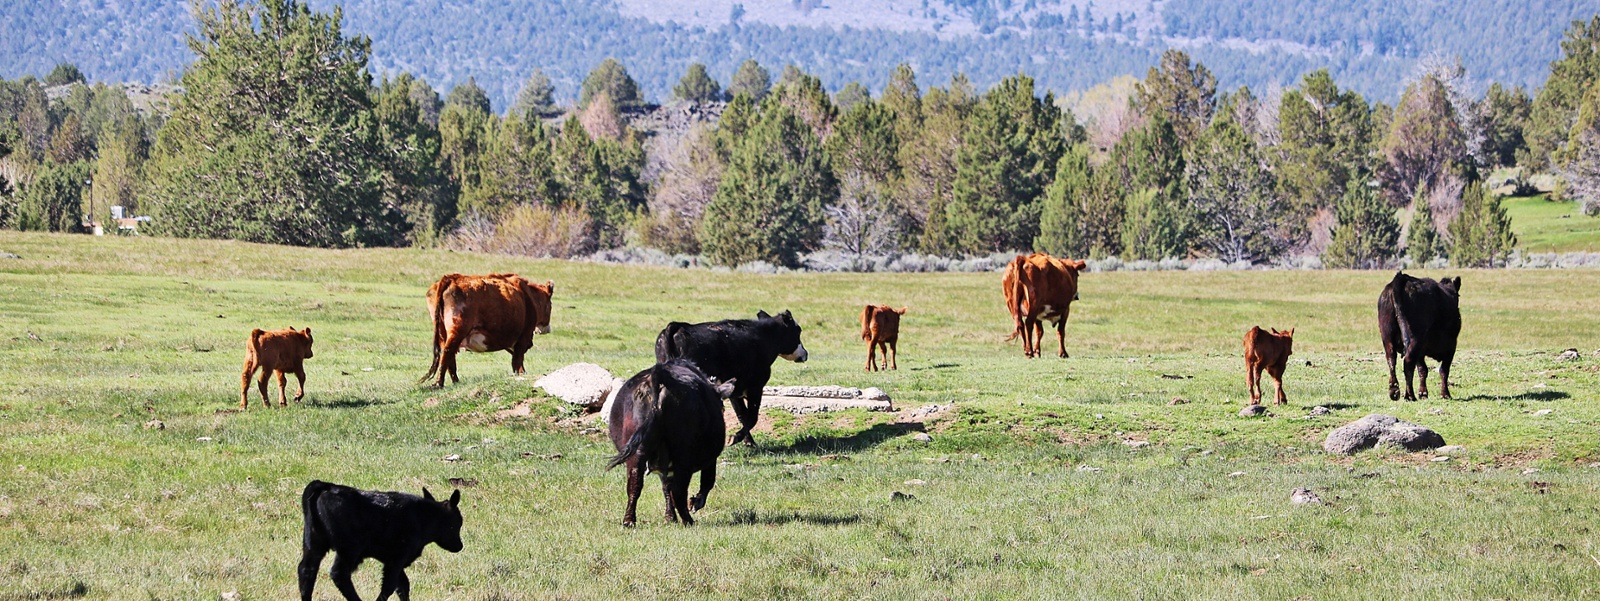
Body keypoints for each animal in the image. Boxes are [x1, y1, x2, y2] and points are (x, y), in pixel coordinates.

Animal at [300, 479, 464, 601]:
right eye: (455, 524)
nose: (460, 546)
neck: (422, 517)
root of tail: (328, 486)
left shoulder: (391, 559)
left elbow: (402, 585)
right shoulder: (398, 557)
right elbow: (390, 586)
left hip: (314, 544)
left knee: (306, 570)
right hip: (349, 549)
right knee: (338, 574)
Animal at [422, 271, 553, 385]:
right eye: (550, 305)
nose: (547, 328)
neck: (528, 296)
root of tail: (451, 278)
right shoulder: (524, 335)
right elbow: (518, 360)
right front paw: (521, 374)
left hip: (443, 333)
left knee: (450, 357)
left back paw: (455, 382)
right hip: (457, 330)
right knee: (447, 353)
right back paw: (439, 383)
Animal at [652, 310, 806, 447]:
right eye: (797, 331)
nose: (805, 353)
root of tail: (678, 327)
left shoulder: (735, 391)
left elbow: (742, 415)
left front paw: (748, 441)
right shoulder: (755, 388)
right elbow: (752, 417)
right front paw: (737, 438)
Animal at [1376, 271, 1465, 401]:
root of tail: (1402, 278)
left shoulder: (1421, 351)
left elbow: (1422, 370)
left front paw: (1423, 393)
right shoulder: (1451, 346)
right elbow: (1443, 370)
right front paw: (1445, 394)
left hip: (1387, 336)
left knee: (1391, 359)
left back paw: (1394, 390)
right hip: (1415, 339)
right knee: (1408, 362)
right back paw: (1409, 395)